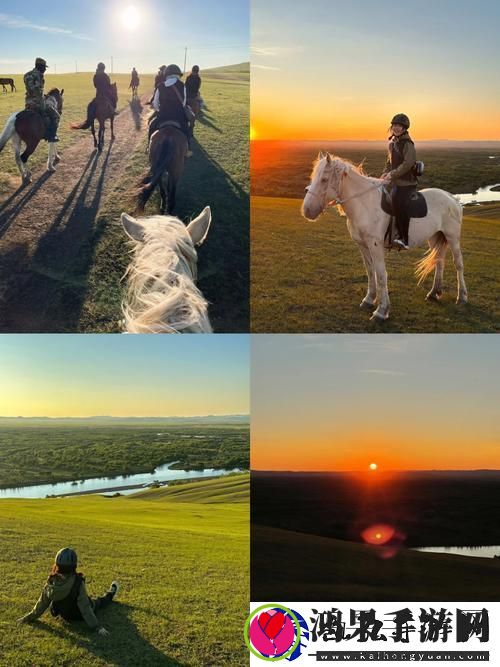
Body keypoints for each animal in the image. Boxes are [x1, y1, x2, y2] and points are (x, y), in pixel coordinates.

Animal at [300, 155, 468, 324]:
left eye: (324, 179)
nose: (307, 211)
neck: (364, 204)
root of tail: (452, 198)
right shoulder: (363, 246)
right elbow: (370, 271)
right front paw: (369, 299)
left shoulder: (375, 246)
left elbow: (381, 275)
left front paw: (381, 311)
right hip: (435, 237)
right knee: (439, 262)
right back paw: (434, 292)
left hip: (452, 237)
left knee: (458, 264)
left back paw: (462, 297)